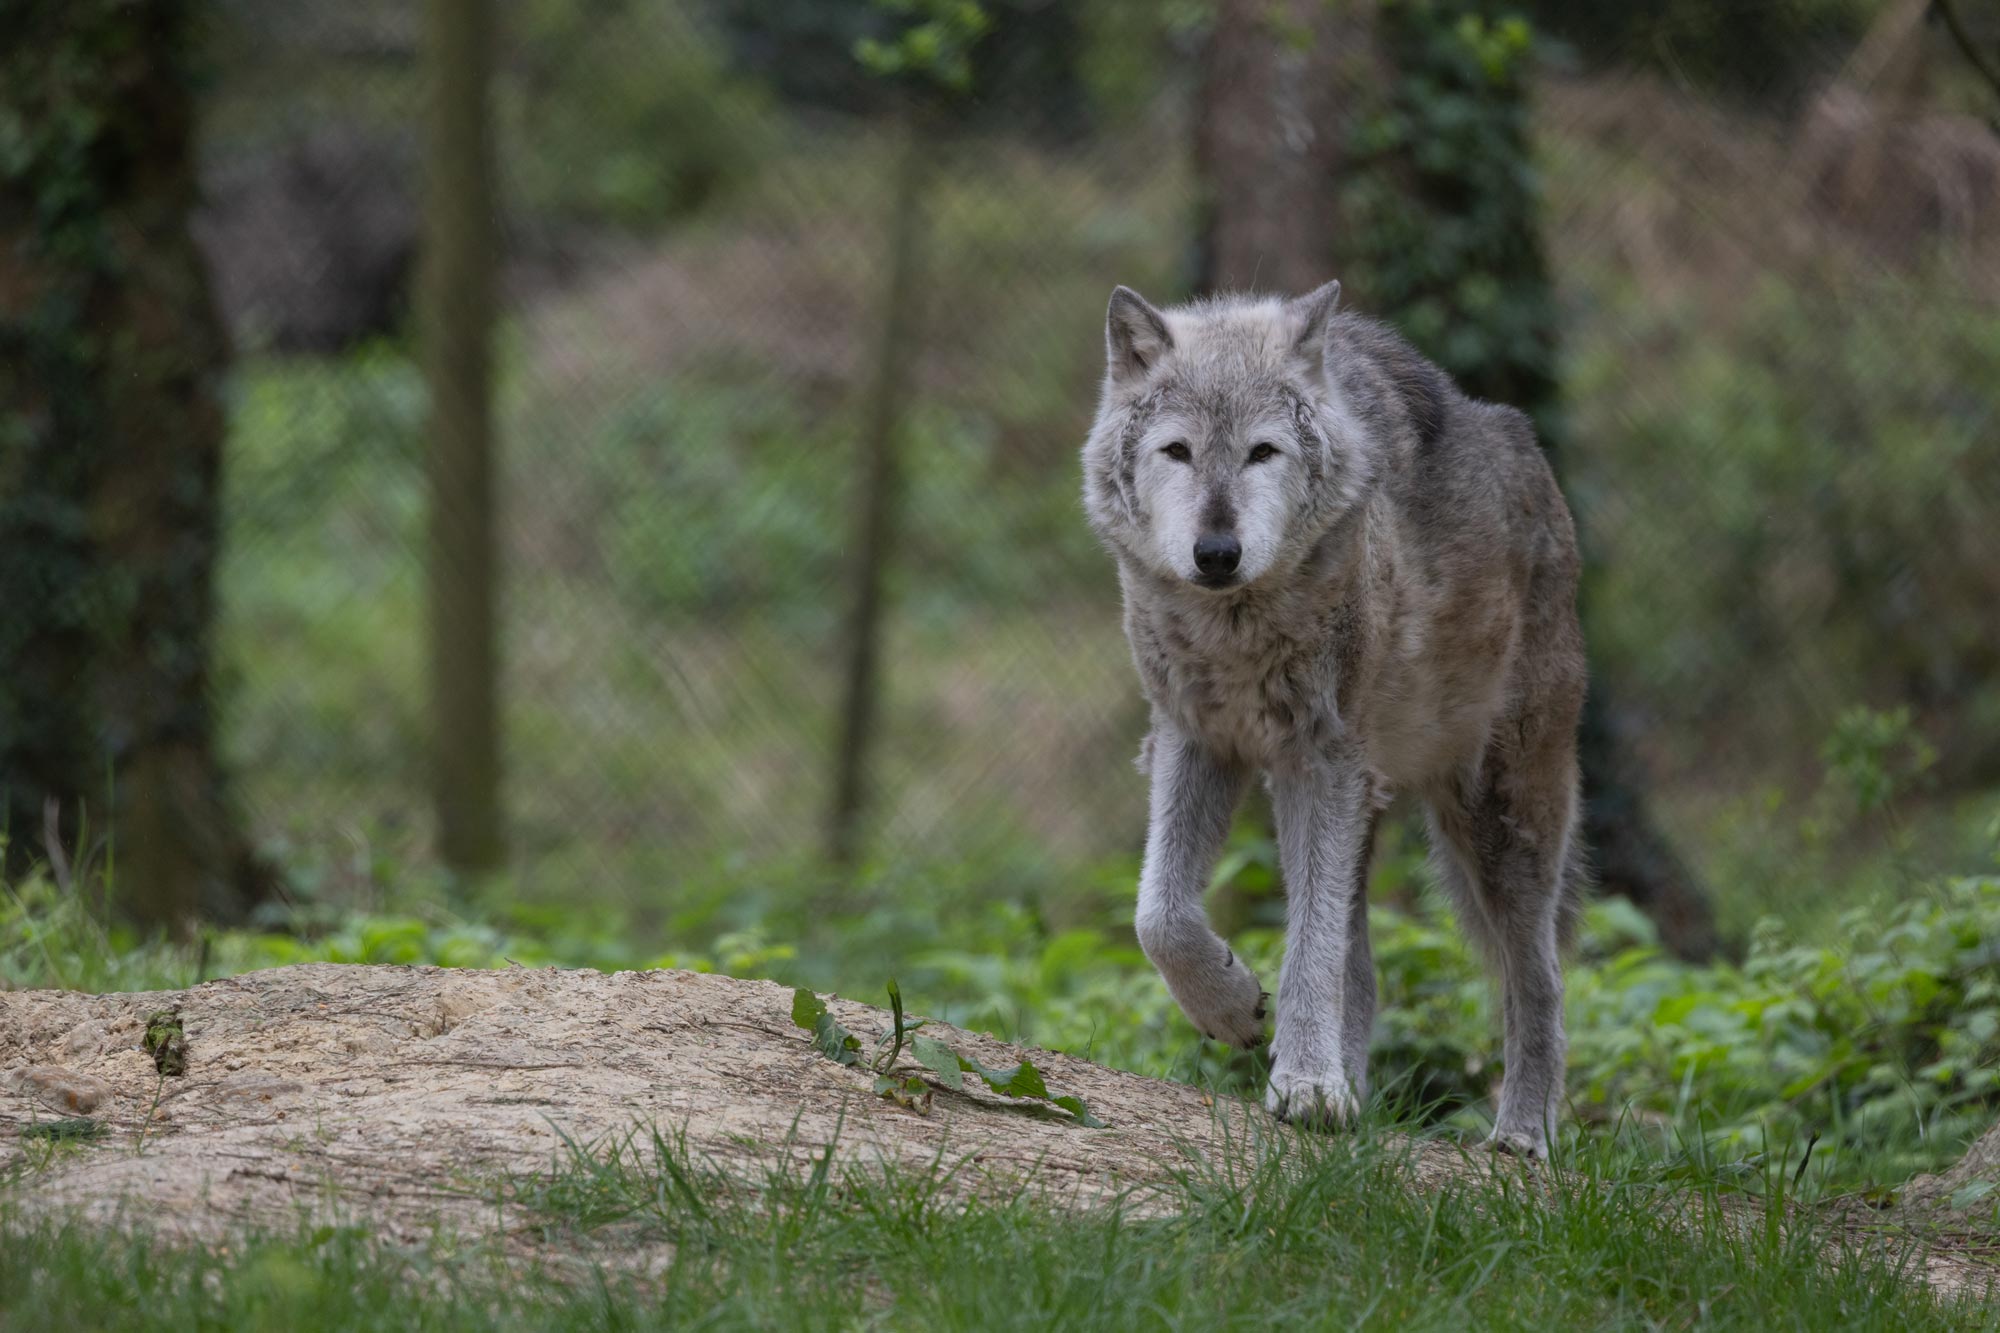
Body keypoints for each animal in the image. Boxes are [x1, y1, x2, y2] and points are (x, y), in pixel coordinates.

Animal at [1081, 280, 1587, 1156]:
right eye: (1177, 451)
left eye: (1263, 452)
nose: (1217, 552)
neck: (1235, 631)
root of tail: (1526, 446)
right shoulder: (1196, 739)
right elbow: (1161, 917)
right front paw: (1236, 1011)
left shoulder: (1318, 762)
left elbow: (1307, 951)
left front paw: (1309, 1085)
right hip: (1373, 808)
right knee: (1367, 971)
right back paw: (1355, 1088)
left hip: (1497, 823)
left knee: (1542, 979)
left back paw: (1524, 1133)